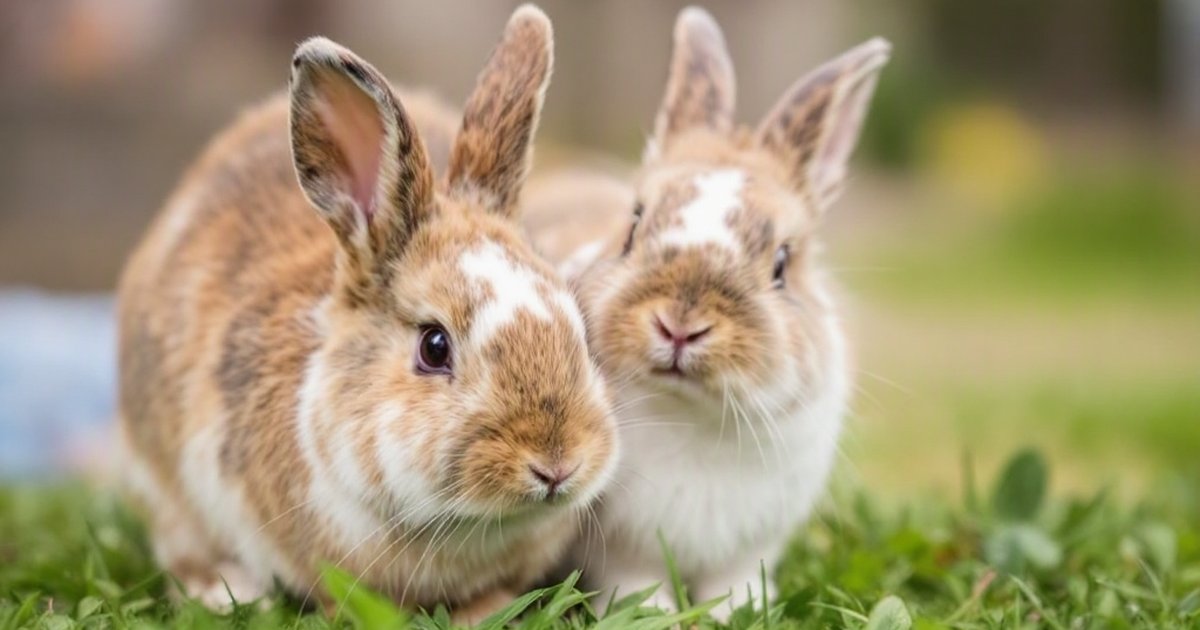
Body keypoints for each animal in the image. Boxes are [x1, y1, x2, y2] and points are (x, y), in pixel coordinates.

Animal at [521, 6, 890, 621]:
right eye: (633, 227)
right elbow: (635, 581)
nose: (679, 326)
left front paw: (740, 611)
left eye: (782, 263)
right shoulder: (623, 547)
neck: (690, 414)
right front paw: (654, 616)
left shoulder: (752, 543)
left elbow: (736, 582)